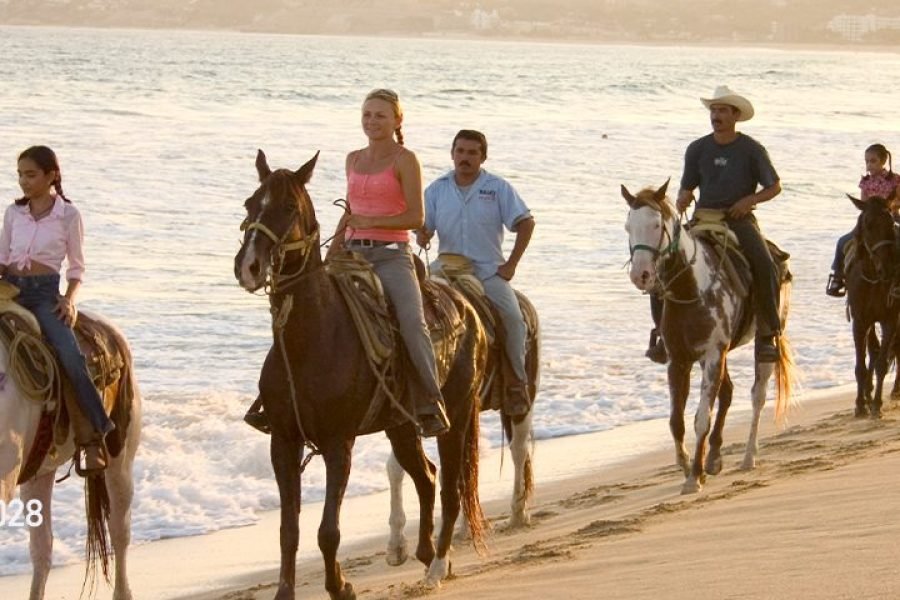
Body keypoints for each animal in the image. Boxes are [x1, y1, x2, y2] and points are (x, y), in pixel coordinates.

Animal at [232, 151, 486, 600]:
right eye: (250, 203)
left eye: (289, 207)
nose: (249, 266)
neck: (312, 338)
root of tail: (467, 306)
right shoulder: (283, 442)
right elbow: (289, 530)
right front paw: (285, 591)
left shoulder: (339, 443)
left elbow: (327, 531)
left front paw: (341, 586)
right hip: (401, 426)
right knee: (426, 477)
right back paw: (423, 553)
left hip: (456, 416)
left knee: (451, 488)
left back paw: (439, 564)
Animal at [624, 180, 796, 494]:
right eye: (629, 226)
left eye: (656, 224)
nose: (640, 275)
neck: (691, 287)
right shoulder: (679, 359)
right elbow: (676, 421)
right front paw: (687, 465)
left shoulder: (714, 353)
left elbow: (701, 417)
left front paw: (694, 477)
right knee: (727, 393)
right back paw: (714, 457)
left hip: (760, 341)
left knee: (757, 396)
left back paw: (748, 457)